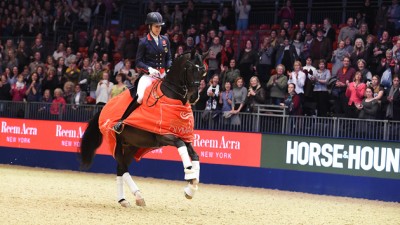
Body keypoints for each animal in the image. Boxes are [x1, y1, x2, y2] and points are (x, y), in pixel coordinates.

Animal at [80, 50, 208, 207]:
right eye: (190, 69)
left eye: (203, 72)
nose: (195, 97)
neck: (171, 97)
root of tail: (104, 107)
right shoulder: (165, 136)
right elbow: (181, 145)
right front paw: (189, 174)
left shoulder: (183, 136)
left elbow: (195, 155)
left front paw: (191, 187)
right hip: (116, 143)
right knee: (123, 168)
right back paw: (138, 195)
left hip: (131, 146)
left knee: (120, 169)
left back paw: (124, 200)